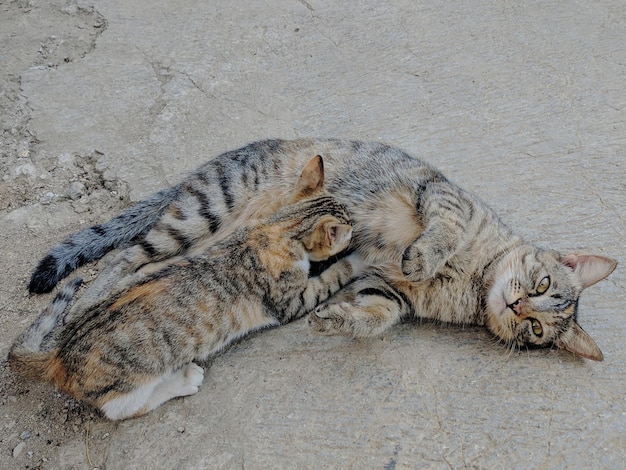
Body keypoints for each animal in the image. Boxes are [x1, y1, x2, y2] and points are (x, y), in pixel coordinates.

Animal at [9, 156, 358, 420]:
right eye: (350, 228)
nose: (356, 230)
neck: (275, 230)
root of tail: (58, 354)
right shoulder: (291, 299)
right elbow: (332, 276)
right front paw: (356, 260)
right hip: (130, 380)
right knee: (121, 409)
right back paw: (184, 380)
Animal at [26, 139, 612, 360]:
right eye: (540, 285)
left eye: (535, 328)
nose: (516, 305)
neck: (472, 280)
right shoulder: (442, 197)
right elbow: (440, 232)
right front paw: (423, 256)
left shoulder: (382, 288)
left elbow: (375, 315)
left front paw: (338, 320)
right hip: (201, 213)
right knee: (121, 257)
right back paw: (85, 301)